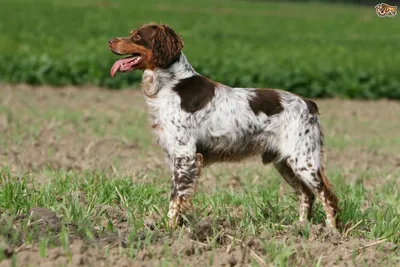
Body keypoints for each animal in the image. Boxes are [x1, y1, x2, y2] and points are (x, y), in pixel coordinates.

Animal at [108, 23, 340, 230]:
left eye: (137, 36)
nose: (110, 40)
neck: (171, 84)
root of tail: (308, 103)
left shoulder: (185, 155)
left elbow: (175, 197)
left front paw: (169, 228)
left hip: (304, 160)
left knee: (327, 196)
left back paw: (331, 233)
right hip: (285, 163)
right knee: (306, 195)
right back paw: (301, 228)